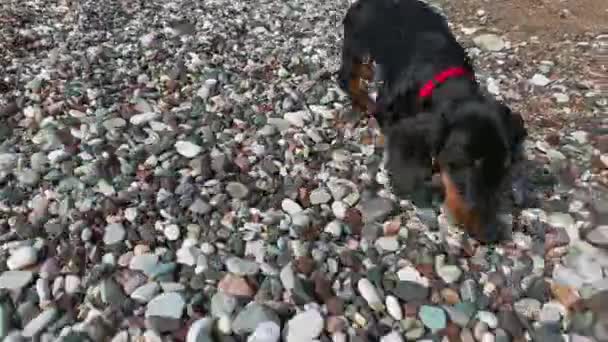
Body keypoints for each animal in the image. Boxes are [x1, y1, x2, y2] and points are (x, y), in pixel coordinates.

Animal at [338, 0, 528, 243]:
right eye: (466, 164)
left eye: (504, 168)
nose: (491, 233)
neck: (440, 72)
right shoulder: (390, 109)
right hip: (355, 45)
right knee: (347, 78)